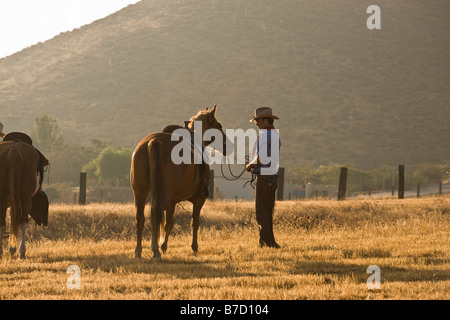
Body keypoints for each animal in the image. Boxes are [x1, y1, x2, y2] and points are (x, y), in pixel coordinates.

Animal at [129, 106, 229, 258]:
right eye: (219, 125)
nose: (228, 145)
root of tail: (154, 141)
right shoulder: (199, 200)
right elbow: (195, 222)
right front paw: (194, 247)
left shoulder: (172, 202)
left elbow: (169, 223)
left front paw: (164, 245)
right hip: (162, 196)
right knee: (155, 214)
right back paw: (155, 250)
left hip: (140, 192)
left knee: (140, 218)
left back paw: (138, 251)